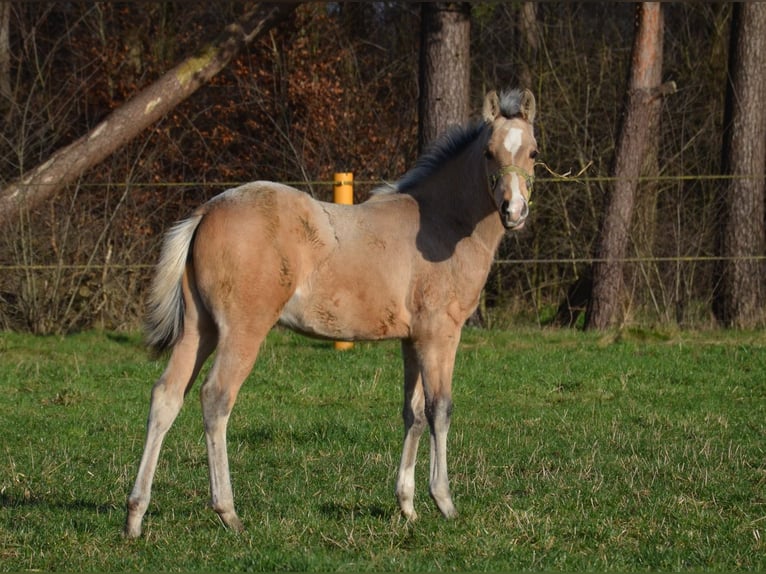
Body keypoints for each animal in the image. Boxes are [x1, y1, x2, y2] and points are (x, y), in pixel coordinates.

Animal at [124, 88, 540, 536]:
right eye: (488, 152)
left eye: (533, 152)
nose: (513, 211)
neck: (443, 223)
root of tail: (207, 210)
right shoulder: (440, 334)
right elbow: (439, 410)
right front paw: (444, 502)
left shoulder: (411, 339)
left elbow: (411, 414)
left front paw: (407, 506)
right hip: (242, 330)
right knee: (216, 398)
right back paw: (228, 511)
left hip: (200, 330)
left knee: (166, 397)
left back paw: (135, 515)